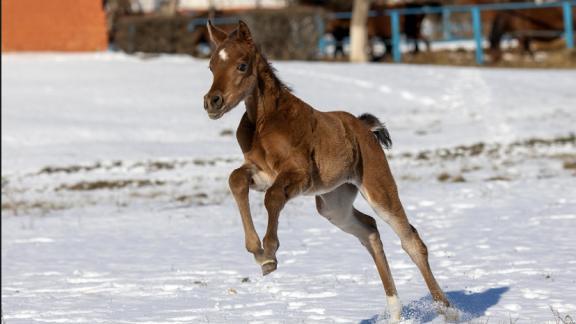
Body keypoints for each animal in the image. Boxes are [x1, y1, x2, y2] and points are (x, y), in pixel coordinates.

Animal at [202, 20, 454, 322]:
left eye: (241, 65)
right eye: (211, 66)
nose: (212, 101)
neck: (264, 122)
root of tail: (363, 127)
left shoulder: (299, 175)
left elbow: (272, 197)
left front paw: (269, 254)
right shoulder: (261, 173)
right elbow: (236, 180)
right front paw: (256, 250)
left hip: (378, 187)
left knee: (411, 240)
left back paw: (448, 311)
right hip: (334, 205)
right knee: (369, 230)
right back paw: (395, 312)